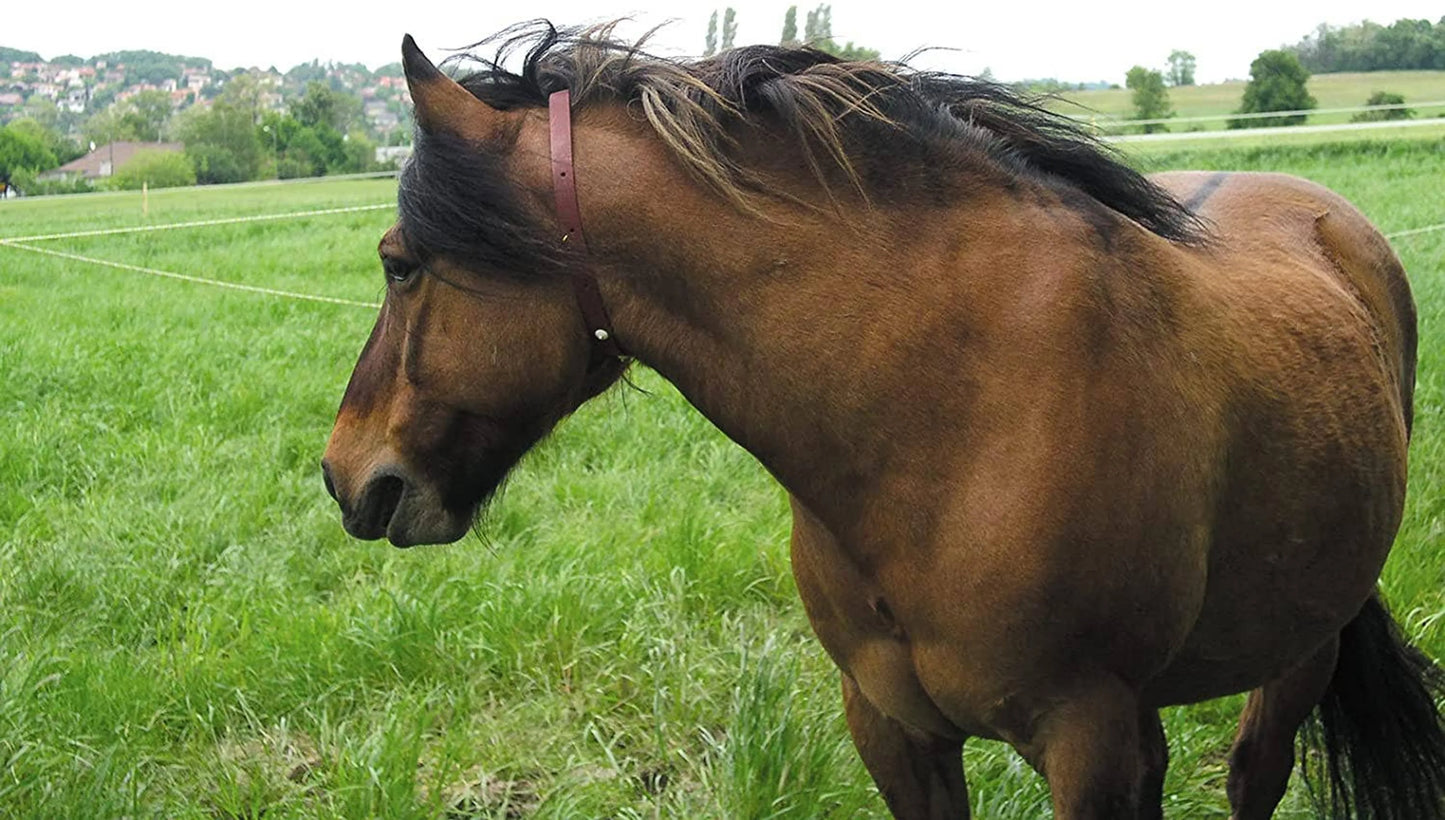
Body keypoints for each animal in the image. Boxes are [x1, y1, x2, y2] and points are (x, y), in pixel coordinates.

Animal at [320, 24, 1445, 819]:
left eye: (399, 265)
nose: (347, 475)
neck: (950, 417)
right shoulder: (896, 730)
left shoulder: (1085, 741)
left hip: (1301, 643)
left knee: (1255, 770)